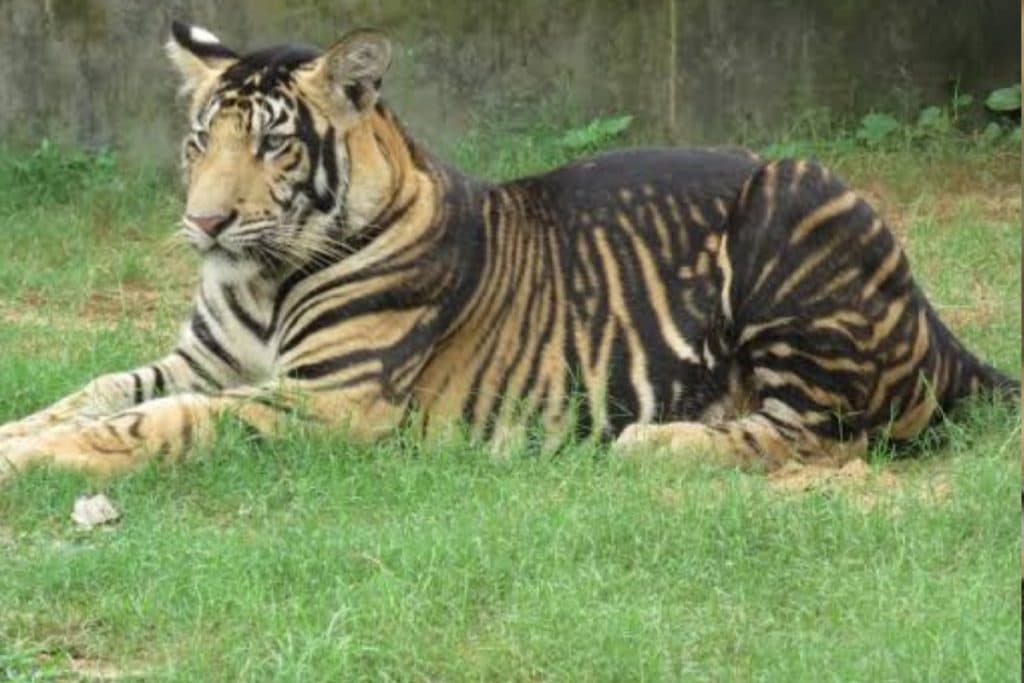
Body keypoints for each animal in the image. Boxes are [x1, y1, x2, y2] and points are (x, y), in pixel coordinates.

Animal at [0, 21, 1016, 480]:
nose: (205, 223)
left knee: (820, 433)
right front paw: (20, 429)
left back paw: (655, 439)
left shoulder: (330, 400)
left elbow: (153, 421)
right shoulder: (203, 359)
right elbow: (98, 390)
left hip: (795, 198)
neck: (262, 278)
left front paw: (27, 459)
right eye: (200, 140)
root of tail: (934, 322)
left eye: (276, 145)